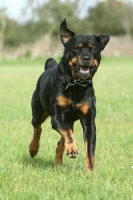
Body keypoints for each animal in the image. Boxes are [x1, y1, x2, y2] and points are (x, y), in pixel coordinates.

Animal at [29, 18, 109, 170]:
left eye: (93, 49)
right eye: (76, 48)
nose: (86, 58)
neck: (76, 86)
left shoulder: (89, 121)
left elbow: (89, 149)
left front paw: (90, 171)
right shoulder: (56, 116)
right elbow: (67, 133)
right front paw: (72, 148)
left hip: (69, 120)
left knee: (60, 141)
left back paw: (58, 163)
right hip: (38, 112)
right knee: (38, 127)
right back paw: (33, 149)